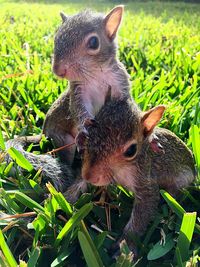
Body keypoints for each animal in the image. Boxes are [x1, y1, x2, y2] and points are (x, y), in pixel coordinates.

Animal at [42, 5, 130, 165]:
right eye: (56, 38)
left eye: (94, 42)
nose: (58, 70)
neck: (95, 73)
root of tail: (43, 132)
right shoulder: (78, 90)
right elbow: (79, 108)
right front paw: (85, 126)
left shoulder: (120, 83)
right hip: (63, 139)